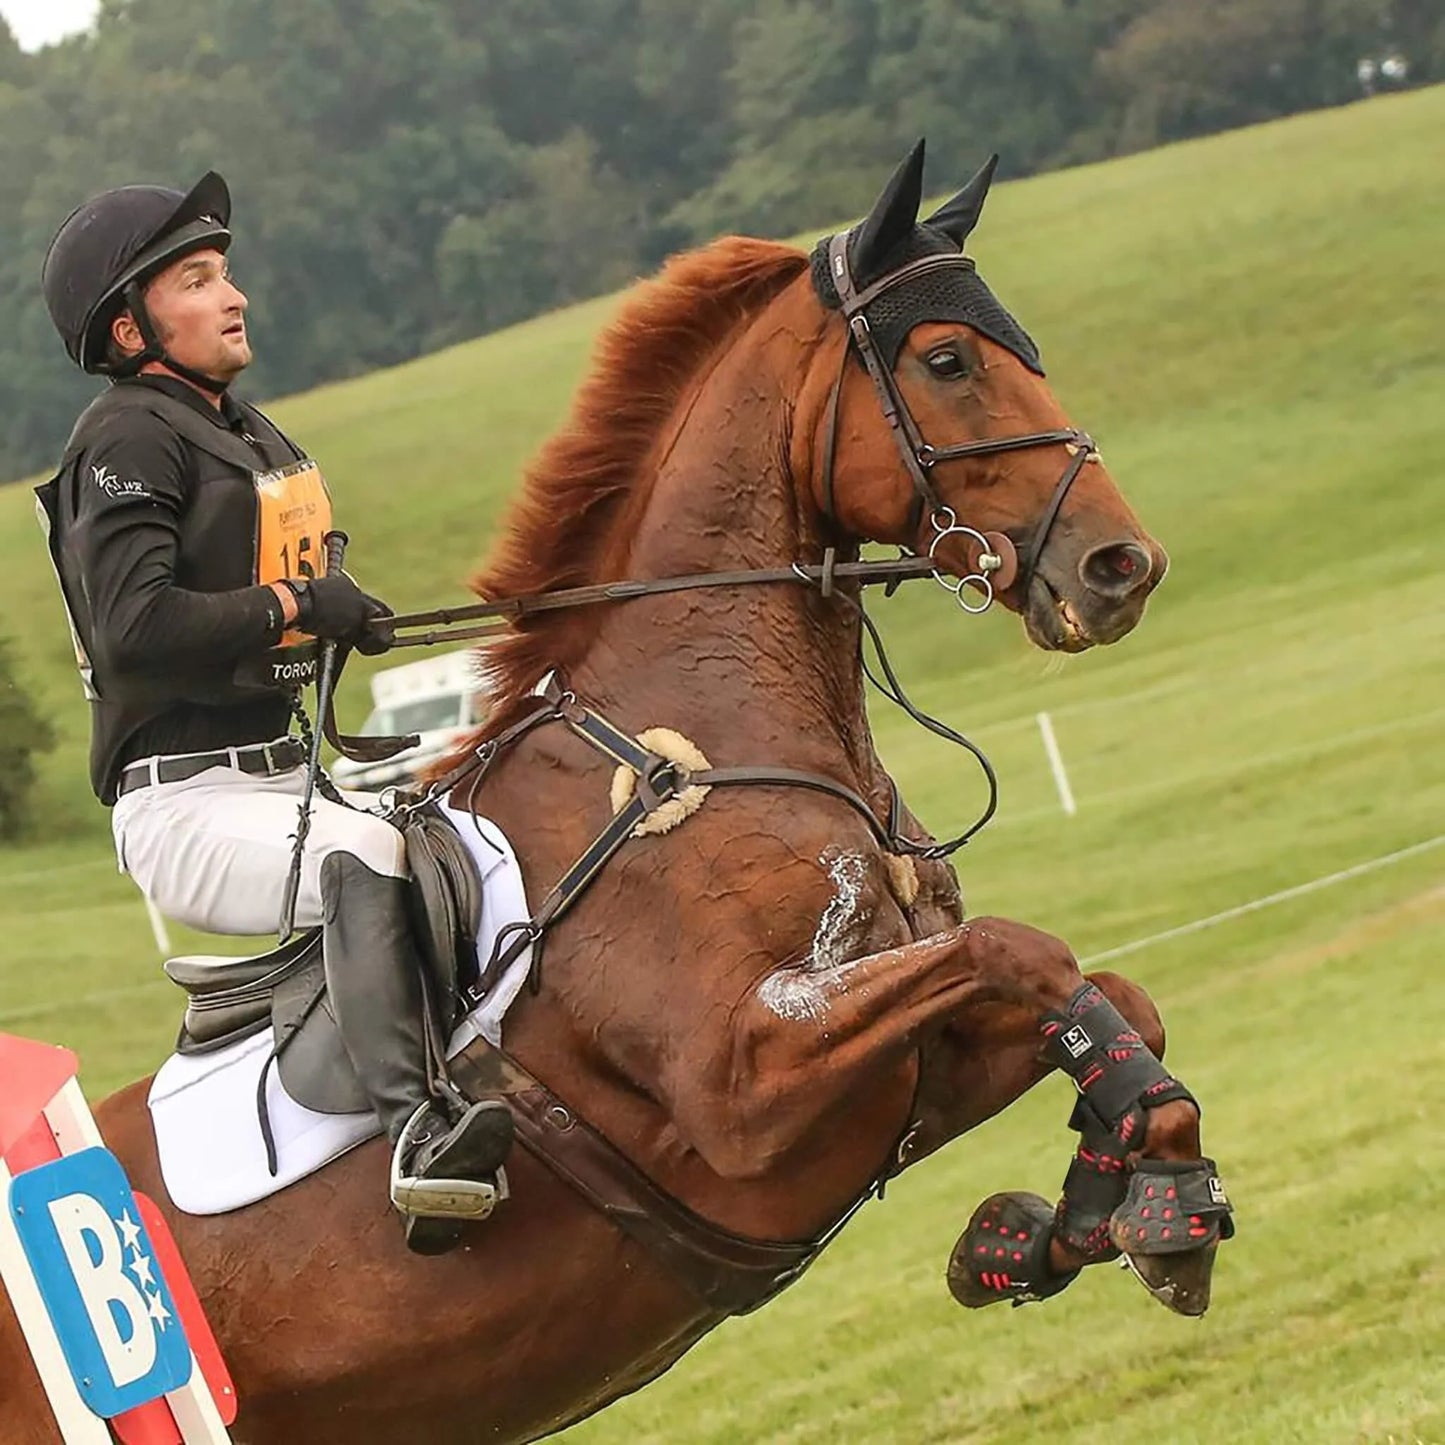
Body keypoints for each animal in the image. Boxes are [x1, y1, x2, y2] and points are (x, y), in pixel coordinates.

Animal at [0, 142, 1231, 1444]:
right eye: (946, 361)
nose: (1119, 565)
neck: (701, 744)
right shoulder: (745, 1090)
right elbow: (1017, 949)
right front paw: (1146, 1198)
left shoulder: (902, 1081)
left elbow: (1106, 993)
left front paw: (1073, 1218)